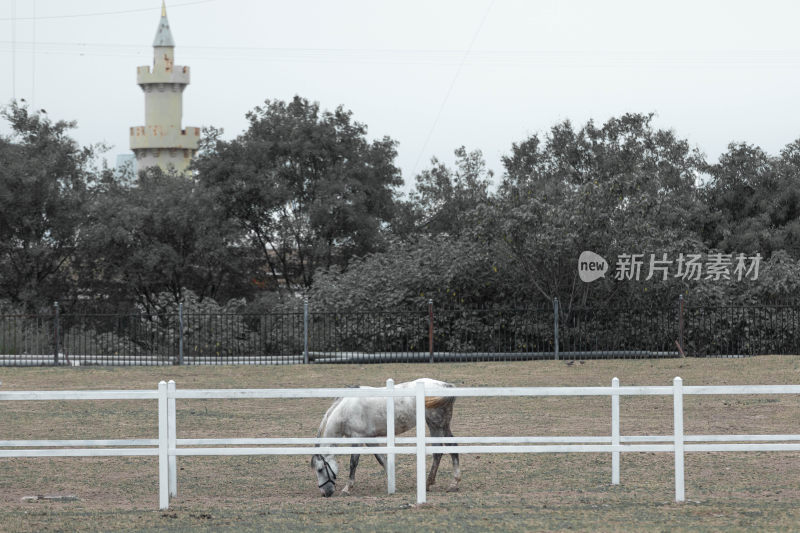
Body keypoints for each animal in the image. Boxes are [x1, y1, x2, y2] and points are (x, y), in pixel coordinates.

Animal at [312, 378, 462, 494]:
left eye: (320, 469)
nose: (325, 493)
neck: (346, 409)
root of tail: (445, 385)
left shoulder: (358, 438)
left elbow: (353, 463)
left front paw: (347, 488)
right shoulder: (369, 439)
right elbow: (382, 460)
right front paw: (392, 483)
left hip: (437, 424)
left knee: (445, 449)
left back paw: (446, 483)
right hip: (438, 425)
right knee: (445, 448)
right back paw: (440, 483)